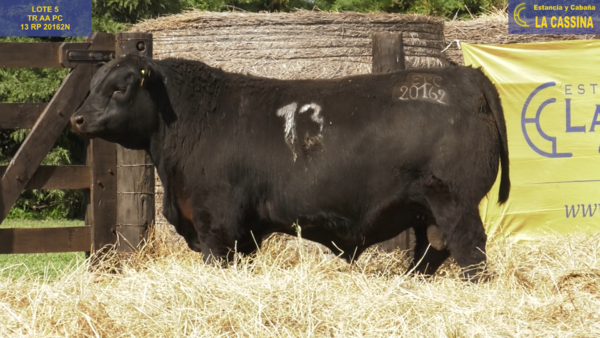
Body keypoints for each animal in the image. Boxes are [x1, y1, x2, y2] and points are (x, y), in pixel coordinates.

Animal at [71, 54, 510, 278]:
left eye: (120, 86)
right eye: (92, 86)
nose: (76, 118)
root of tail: (465, 75)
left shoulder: (217, 223)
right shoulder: (240, 231)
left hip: (455, 202)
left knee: (470, 250)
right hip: (426, 212)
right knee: (430, 251)